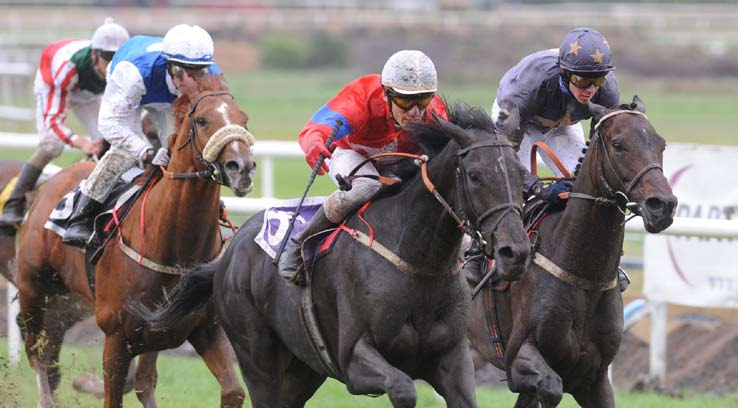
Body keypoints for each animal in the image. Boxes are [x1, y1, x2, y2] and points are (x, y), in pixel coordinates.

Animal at [15, 74, 254, 408]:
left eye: (243, 119)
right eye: (203, 120)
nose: (241, 167)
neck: (175, 246)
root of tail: (48, 185)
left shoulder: (202, 327)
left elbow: (232, 391)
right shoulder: (116, 338)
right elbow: (115, 395)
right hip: (34, 288)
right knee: (34, 348)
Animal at [468, 96, 676, 408]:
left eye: (660, 144)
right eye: (618, 144)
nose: (662, 205)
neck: (582, 270)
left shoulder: (595, 379)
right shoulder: (517, 359)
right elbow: (550, 386)